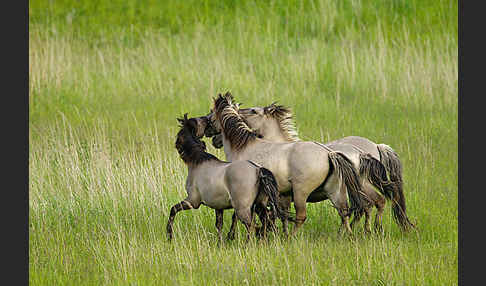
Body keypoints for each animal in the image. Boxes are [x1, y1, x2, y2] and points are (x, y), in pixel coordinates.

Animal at [167, 113, 288, 241]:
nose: (207, 119)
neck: (197, 162)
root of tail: (258, 170)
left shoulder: (193, 201)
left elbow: (173, 210)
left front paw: (169, 235)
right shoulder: (218, 207)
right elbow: (219, 226)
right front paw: (220, 243)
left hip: (243, 209)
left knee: (252, 227)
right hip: (260, 205)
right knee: (268, 223)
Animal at [203, 92, 370, 237]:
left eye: (253, 111)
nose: (209, 131)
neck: (243, 146)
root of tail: (329, 153)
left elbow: (240, 215)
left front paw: (233, 235)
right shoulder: (280, 195)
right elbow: (278, 216)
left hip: (301, 192)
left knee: (302, 216)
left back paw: (291, 237)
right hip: (334, 191)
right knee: (345, 213)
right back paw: (346, 236)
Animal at [220, 102, 414, 232]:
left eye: (254, 110)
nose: (237, 111)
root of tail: (373, 147)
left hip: (361, 186)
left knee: (373, 203)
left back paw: (369, 229)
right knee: (366, 206)